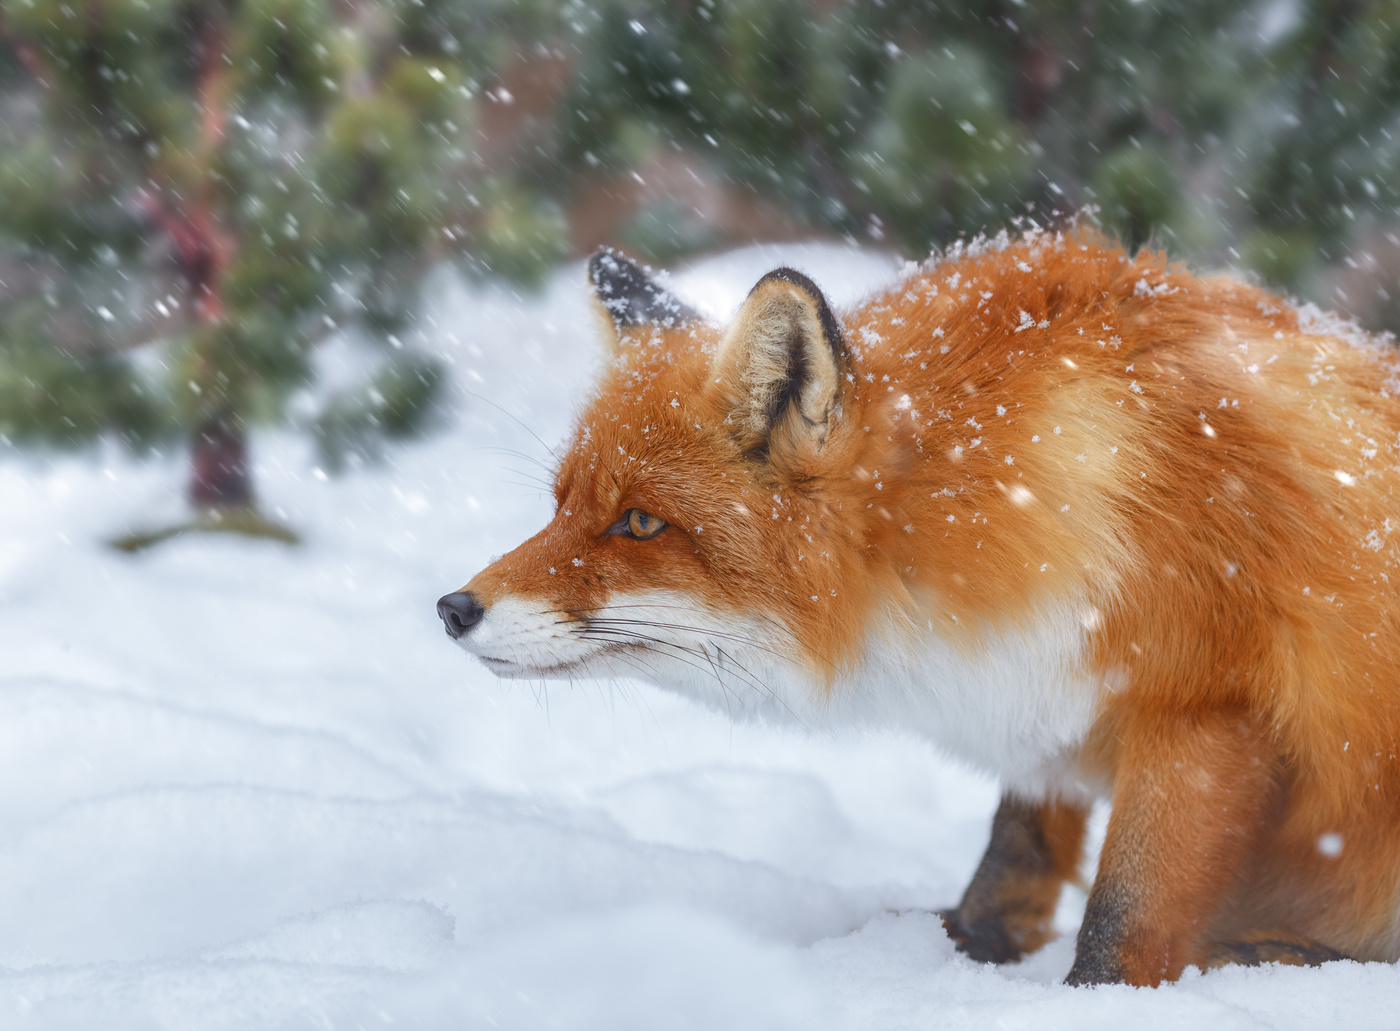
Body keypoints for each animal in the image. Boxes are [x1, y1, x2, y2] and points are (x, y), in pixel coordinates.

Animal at [437, 227, 1400, 986]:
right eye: (560, 506)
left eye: (639, 522)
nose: (451, 607)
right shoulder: (1037, 682)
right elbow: (1016, 847)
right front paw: (964, 951)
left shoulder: (1203, 699)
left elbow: (1123, 917)